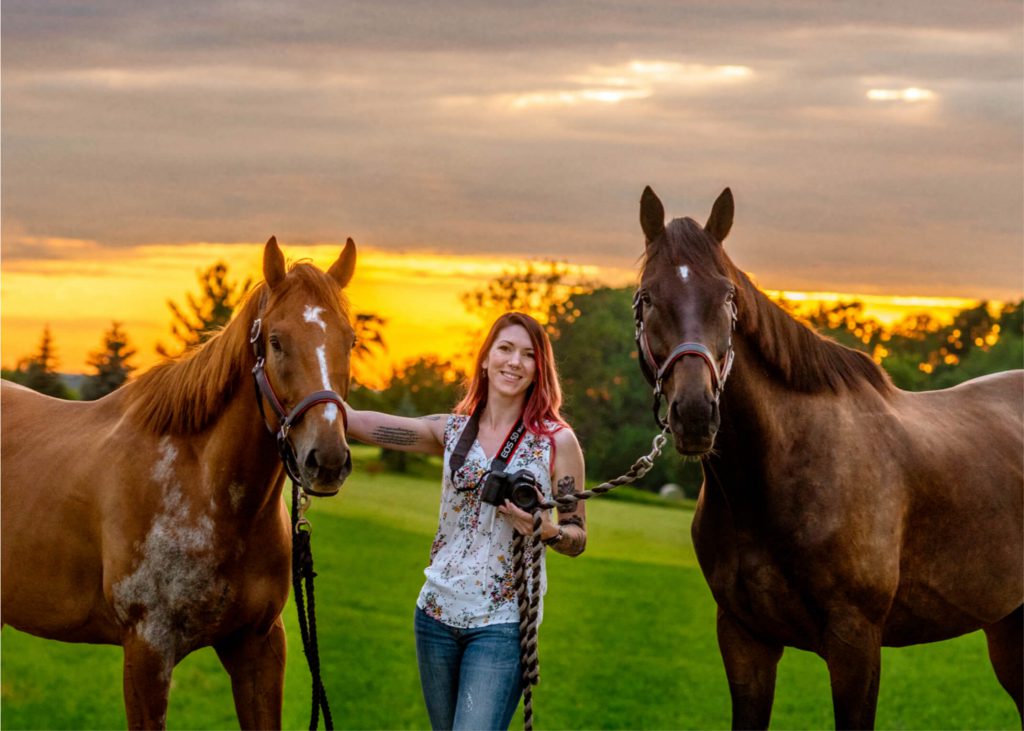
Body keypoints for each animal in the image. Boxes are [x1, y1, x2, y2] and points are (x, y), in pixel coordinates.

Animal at [1, 236, 360, 724]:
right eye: (276, 341)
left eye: (350, 340)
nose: (326, 459)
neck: (210, 497)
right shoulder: (148, 650)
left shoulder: (260, 647)